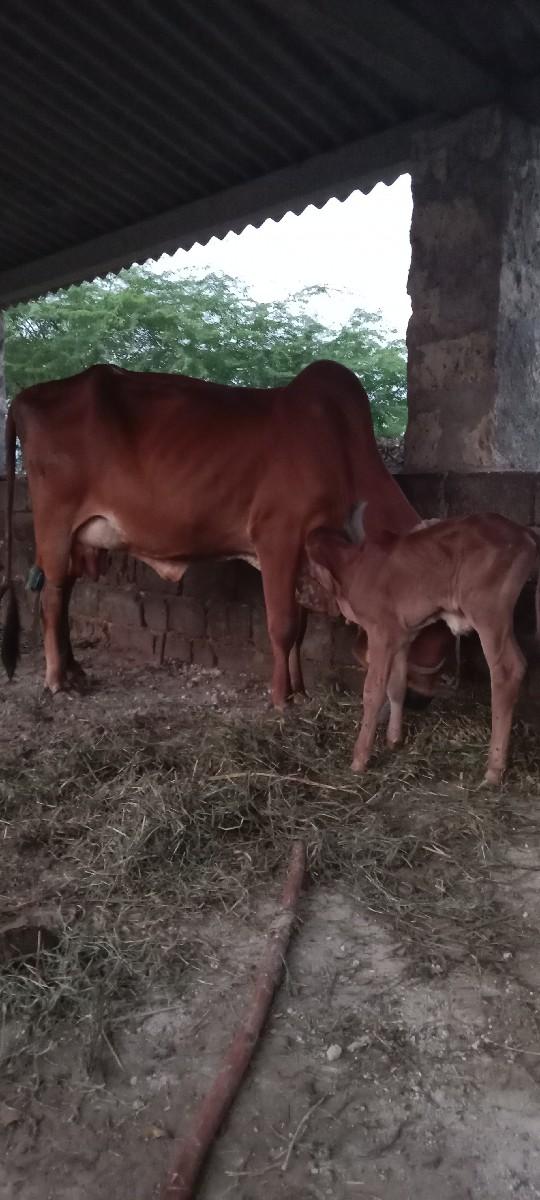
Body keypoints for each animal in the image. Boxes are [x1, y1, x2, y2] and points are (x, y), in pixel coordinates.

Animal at [0, 360, 454, 704]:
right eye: (433, 632)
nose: (423, 697)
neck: (341, 450)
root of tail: (24, 397)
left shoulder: (306, 559)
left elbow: (300, 630)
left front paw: (301, 691)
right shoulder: (278, 538)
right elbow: (283, 626)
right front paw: (281, 700)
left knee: (63, 595)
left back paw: (75, 671)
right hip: (56, 525)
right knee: (52, 599)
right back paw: (57, 680)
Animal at [305, 507, 540, 785]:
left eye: (307, 563)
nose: (302, 594)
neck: (356, 566)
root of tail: (522, 531)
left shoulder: (381, 635)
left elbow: (373, 692)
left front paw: (359, 759)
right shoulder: (402, 636)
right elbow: (397, 686)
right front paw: (394, 740)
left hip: (489, 615)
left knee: (506, 670)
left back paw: (494, 769)